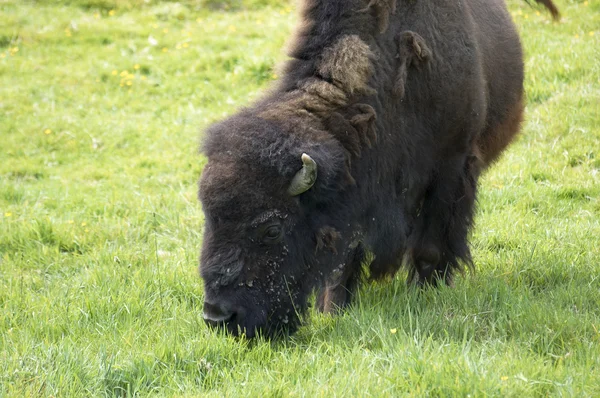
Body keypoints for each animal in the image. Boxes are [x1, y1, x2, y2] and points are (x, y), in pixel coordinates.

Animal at [199, 0, 560, 338]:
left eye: (272, 229)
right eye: (209, 219)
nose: (218, 317)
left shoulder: (449, 169)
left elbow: (430, 246)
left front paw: (425, 294)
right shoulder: (358, 197)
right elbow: (344, 260)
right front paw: (334, 310)